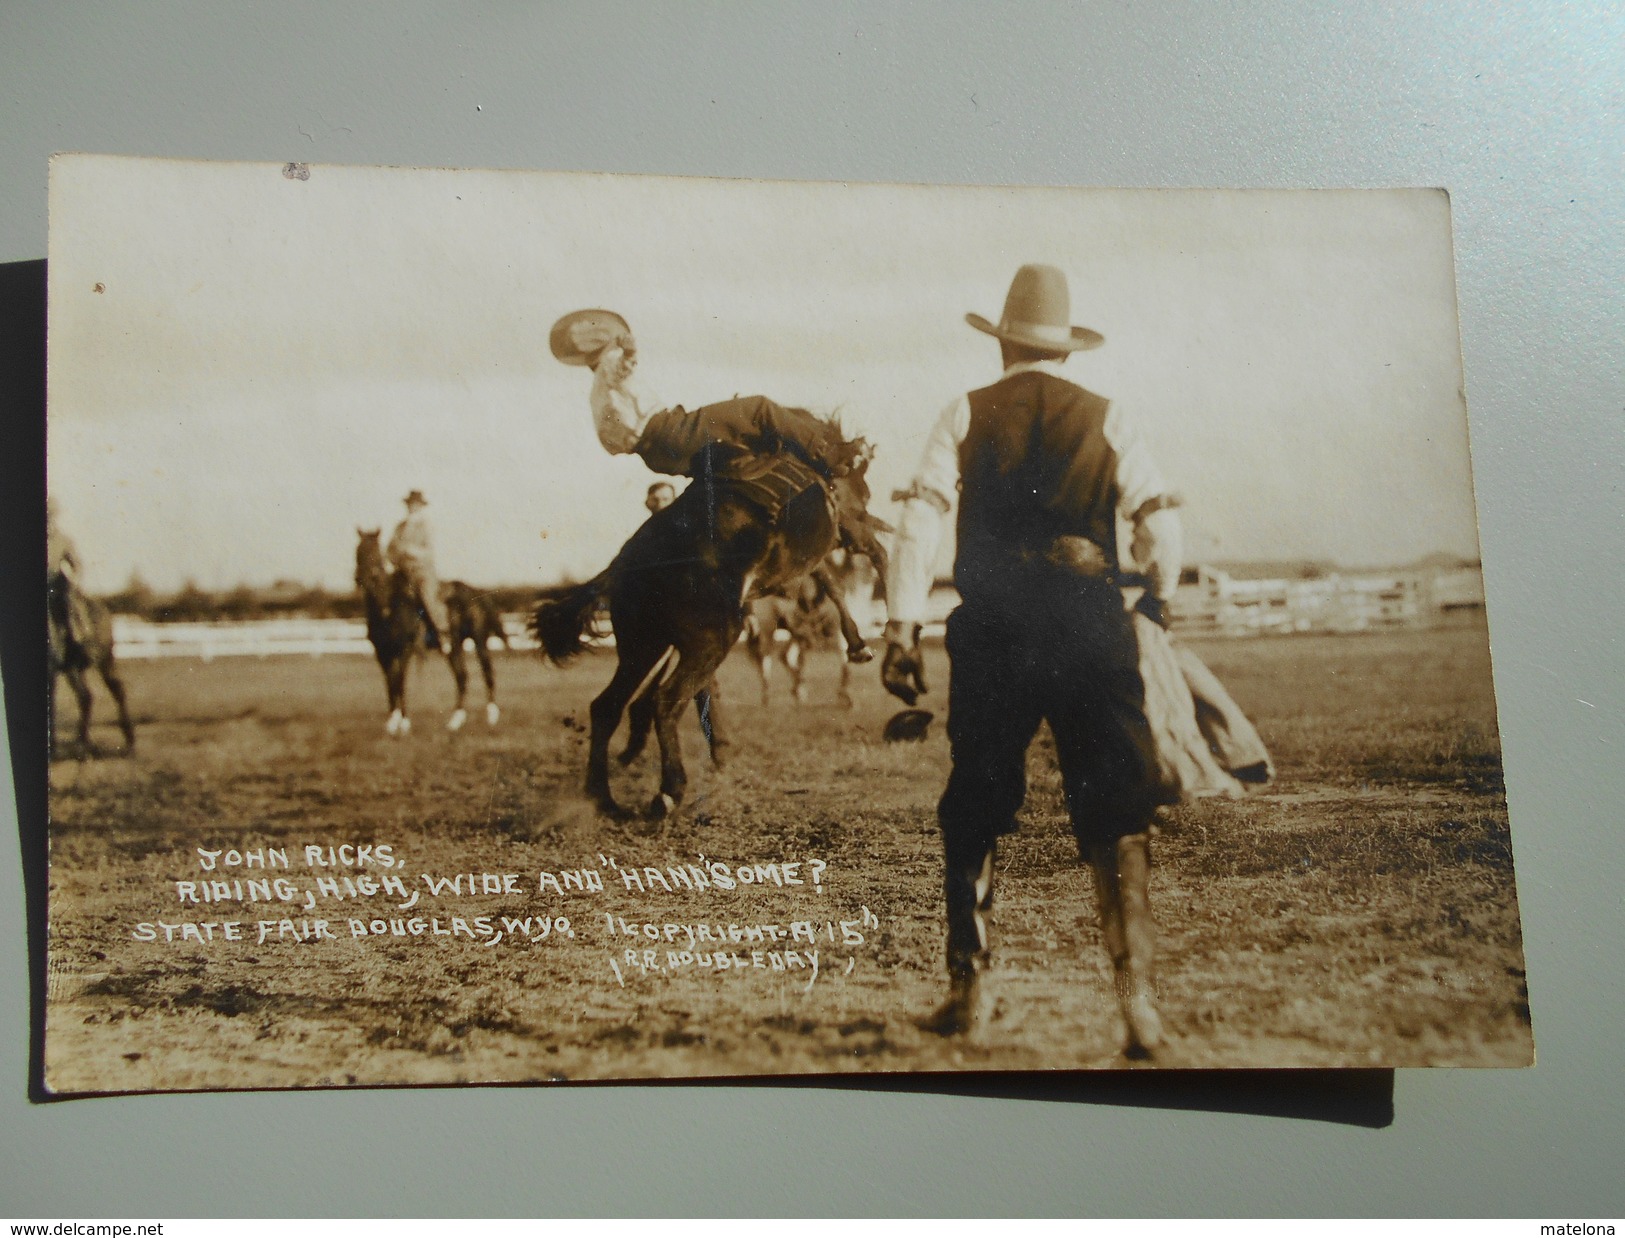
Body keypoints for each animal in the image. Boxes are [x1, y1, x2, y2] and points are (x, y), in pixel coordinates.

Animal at [355, 523, 507, 734]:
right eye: (358, 551)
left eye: (376, 552)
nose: (361, 578)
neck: (387, 608)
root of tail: (478, 593)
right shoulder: (382, 652)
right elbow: (389, 683)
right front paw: (392, 722)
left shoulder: (405, 649)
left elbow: (399, 681)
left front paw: (404, 723)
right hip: (455, 646)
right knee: (462, 676)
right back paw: (455, 721)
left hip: (479, 641)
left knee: (487, 672)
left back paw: (491, 717)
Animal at [533, 435, 890, 818]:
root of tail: (626, 563)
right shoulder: (847, 525)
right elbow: (871, 555)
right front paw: (868, 638)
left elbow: (831, 580)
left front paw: (858, 643)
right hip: (713, 638)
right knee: (666, 699)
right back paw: (669, 791)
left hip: (642, 645)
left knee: (607, 706)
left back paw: (604, 799)